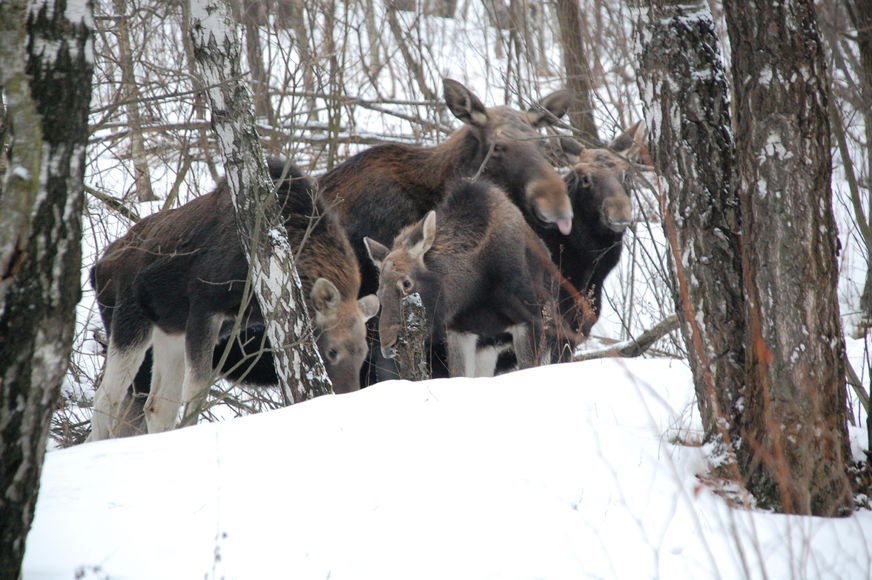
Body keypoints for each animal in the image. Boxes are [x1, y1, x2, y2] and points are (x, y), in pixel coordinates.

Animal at [90, 159, 380, 440]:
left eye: (364, 352)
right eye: (332, 351)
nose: (347, 395)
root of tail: (98, 267)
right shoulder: (205, 307)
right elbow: (196, 393)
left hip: (169, 333)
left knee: (157, 406)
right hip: (128, 319)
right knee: (106, 398)